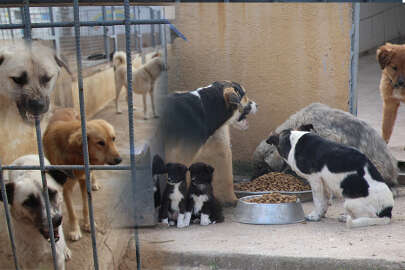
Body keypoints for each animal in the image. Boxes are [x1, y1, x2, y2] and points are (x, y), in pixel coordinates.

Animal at [43, 107, 121, 240]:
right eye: (100, 143)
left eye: (113, 139)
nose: (119, 160)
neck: (75, 154)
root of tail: (65, 108)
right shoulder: (65, 188)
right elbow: (72, 212)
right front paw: (75, 230)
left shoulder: (84, 180)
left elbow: (86, 206)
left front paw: (88, 224)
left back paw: (94, 183)